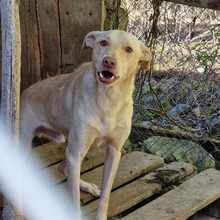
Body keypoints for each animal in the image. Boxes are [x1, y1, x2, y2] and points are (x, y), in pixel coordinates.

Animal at [20, 29, 151, 220]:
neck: (109, 99)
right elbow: (74, 199)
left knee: (63, 168)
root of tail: (22, 93)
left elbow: (106, 195)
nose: (108, 61)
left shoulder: (114, 151)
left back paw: (86, 185)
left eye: (128, 49)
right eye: (103, 42)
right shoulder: (76, 152)